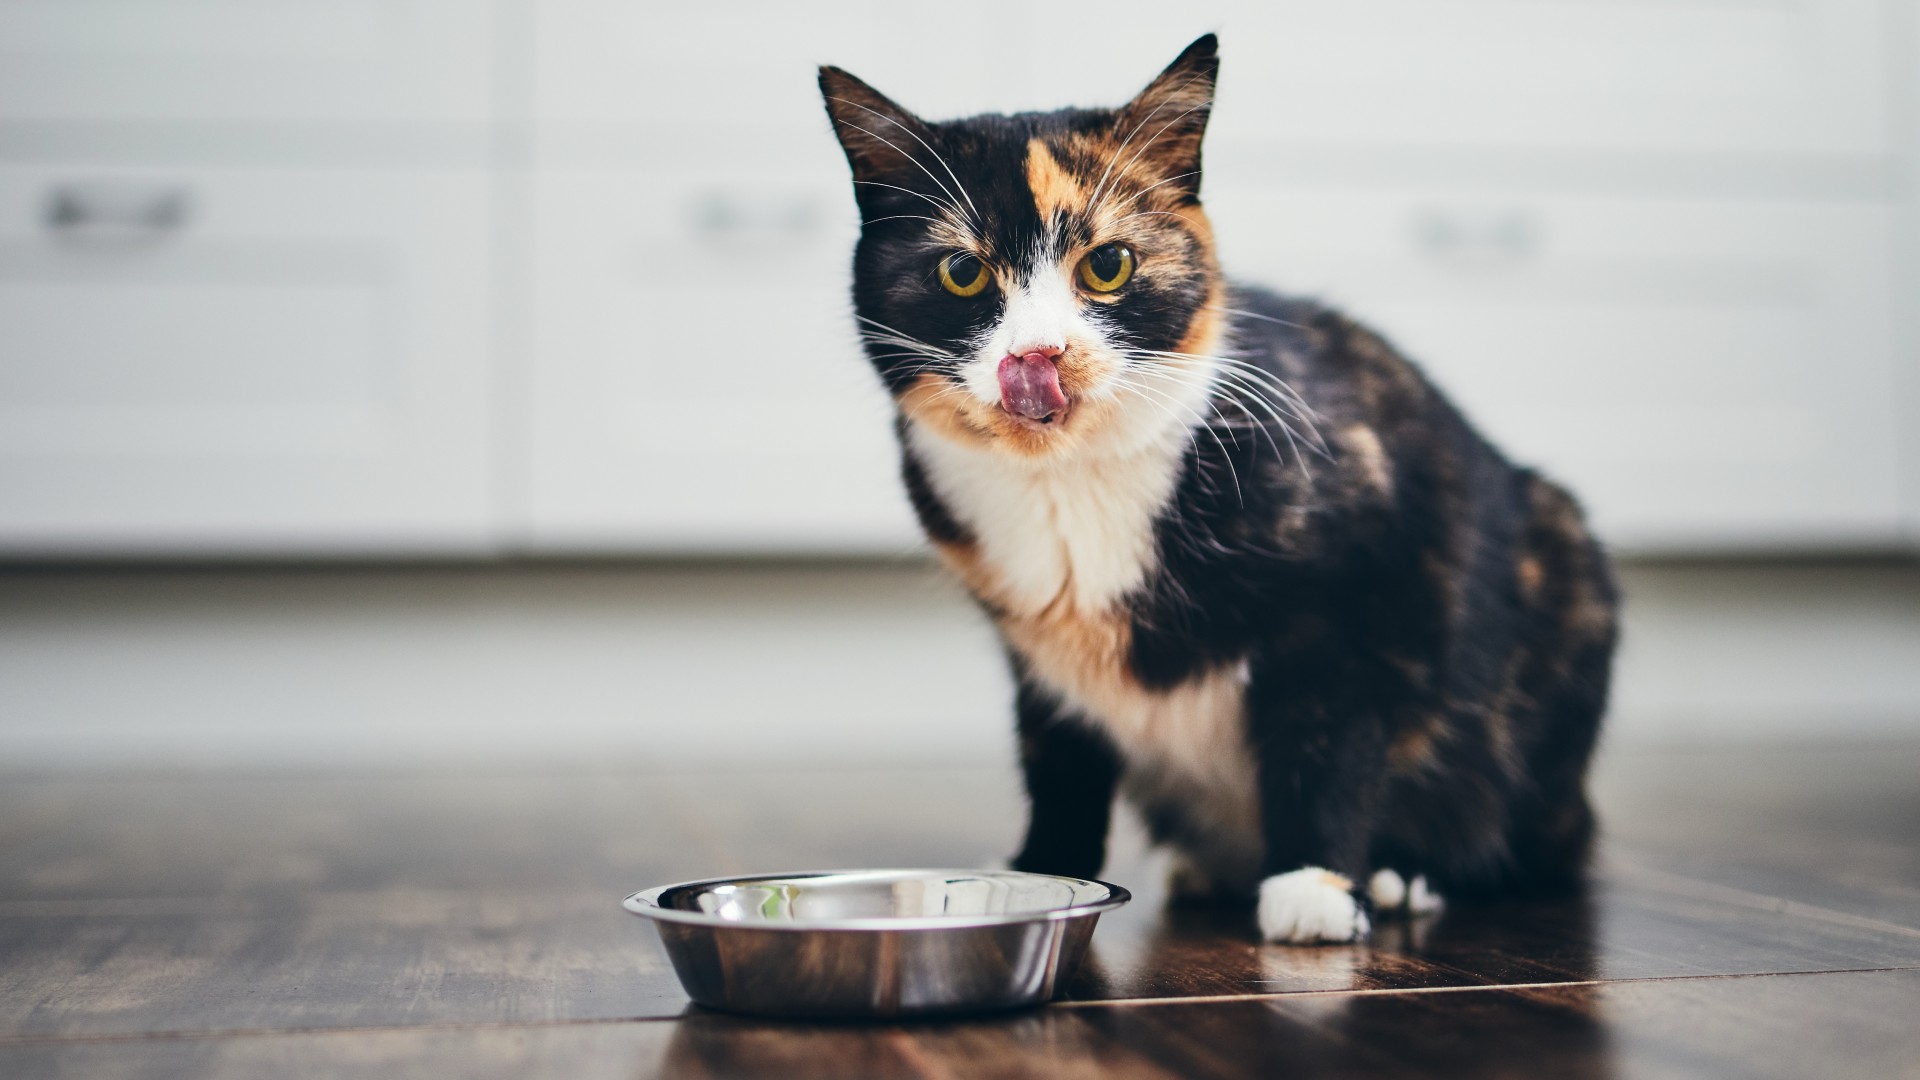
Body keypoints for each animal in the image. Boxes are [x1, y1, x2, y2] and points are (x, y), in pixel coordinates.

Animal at [817, 35, 1612, 941]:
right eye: (960, 272)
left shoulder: (1352, 589)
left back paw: (1404, 874)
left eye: (1109, 264)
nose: (1038, 355)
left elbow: (1325, 737)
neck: (1071, 482)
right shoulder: (1038, 655)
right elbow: (1058, 759)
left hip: (1559, 577)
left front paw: (1314, 884)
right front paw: (1041, 871)